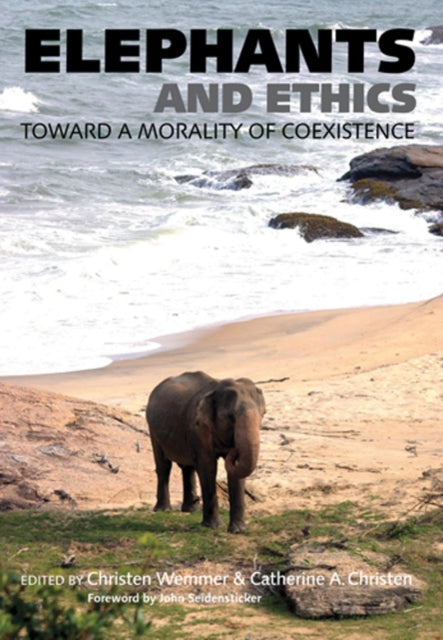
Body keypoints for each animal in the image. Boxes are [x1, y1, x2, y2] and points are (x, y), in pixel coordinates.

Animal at [146, 371, 266, 533]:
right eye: (230, 417)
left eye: (263, 413)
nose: (233, 450)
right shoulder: (198, 427)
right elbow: (207, 466)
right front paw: (213, 526)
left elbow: (235, 473)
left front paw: (238, 530)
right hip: (152, 429)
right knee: (164, 465)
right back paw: (163, 510)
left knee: (187, 466)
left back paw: (191, 509)